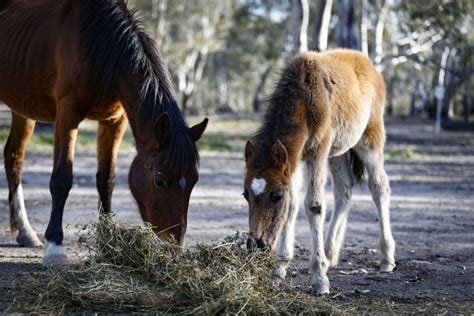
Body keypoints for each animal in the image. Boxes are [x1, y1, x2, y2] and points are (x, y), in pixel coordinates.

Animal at [0, 0, 207, 266]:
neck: (97, 43)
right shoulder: (67, 114)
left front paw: (108, 242)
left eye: (194, 180)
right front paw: (55, 247)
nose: (172, 245)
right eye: (159, 180)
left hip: (23, 110)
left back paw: (25, 232)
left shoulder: (114, 121)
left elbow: (106, 180)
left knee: (14, 157)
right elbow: (62, 178)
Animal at [244, 48, 396, 294]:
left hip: (370, 139)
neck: (304, 98)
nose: (256, 244)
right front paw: (279, 269)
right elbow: (294, 206)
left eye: (277, 196)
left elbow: (314, 205)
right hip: (338, 152)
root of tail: (367, 62)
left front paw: (319, 278)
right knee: (344, 189)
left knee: (379, 187)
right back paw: (330, 253)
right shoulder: (295, 159)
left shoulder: (318, 151)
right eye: (245, 194)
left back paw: (386, 258)